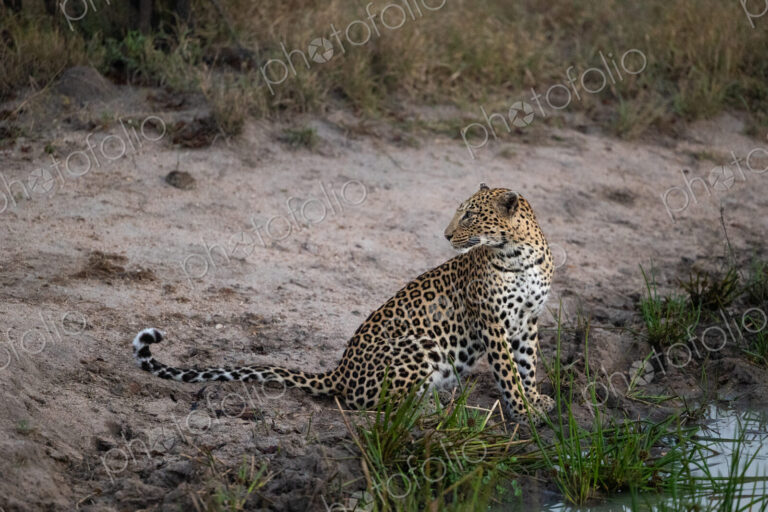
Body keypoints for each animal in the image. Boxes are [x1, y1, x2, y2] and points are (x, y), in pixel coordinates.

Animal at [132, 184, 556, 423]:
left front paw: (535, 400)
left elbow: (527, 366)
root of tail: (340, 372)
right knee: (372, 403)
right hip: (419, 347)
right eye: (459, 212)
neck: (520, 255)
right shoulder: (493, 323)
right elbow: (508, 372)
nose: (447, 234)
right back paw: (433, 409)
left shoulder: (528, 321)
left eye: (470, 214)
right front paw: (524, 411)